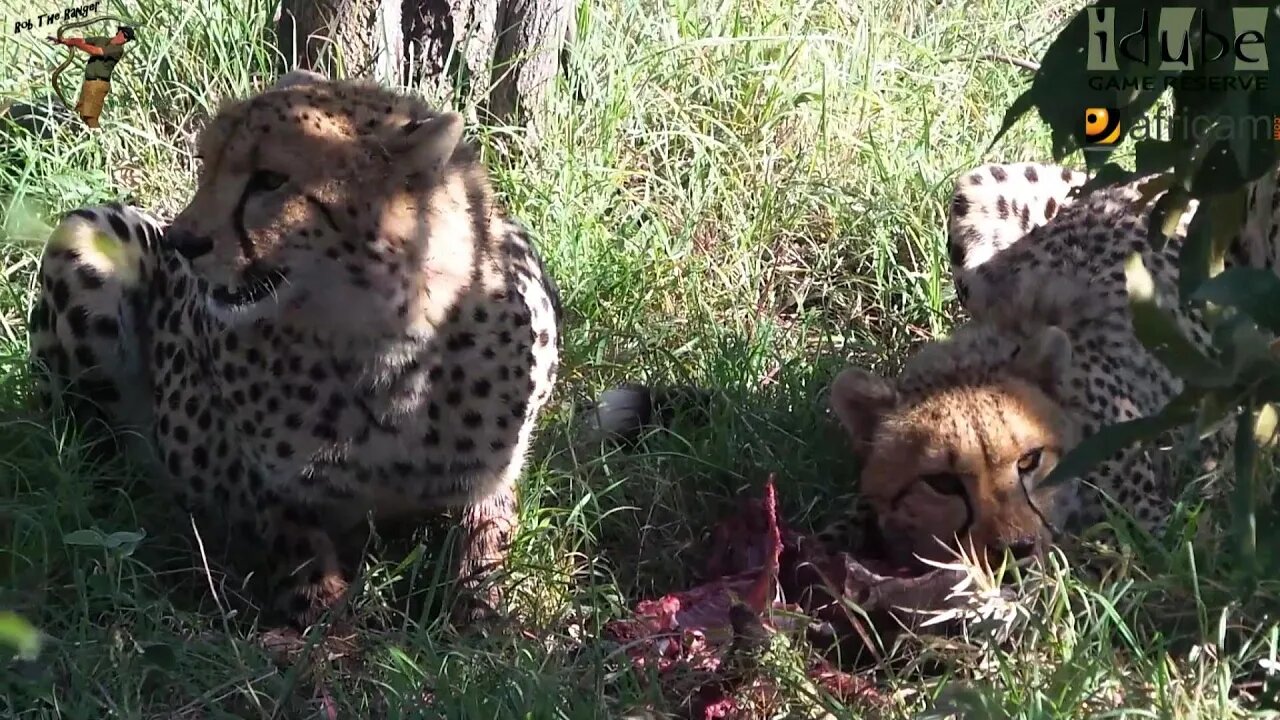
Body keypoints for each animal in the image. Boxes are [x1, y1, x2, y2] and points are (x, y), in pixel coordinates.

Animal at [26, 70, 560, 625]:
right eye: (207, 164)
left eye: (270, 180)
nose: (182, 243)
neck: (386, 341)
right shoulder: (264, 484)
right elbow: (300, 559)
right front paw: (327, 628)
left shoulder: (491, 480)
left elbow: (486, 545)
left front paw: (483, 612)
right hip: (89, 231)